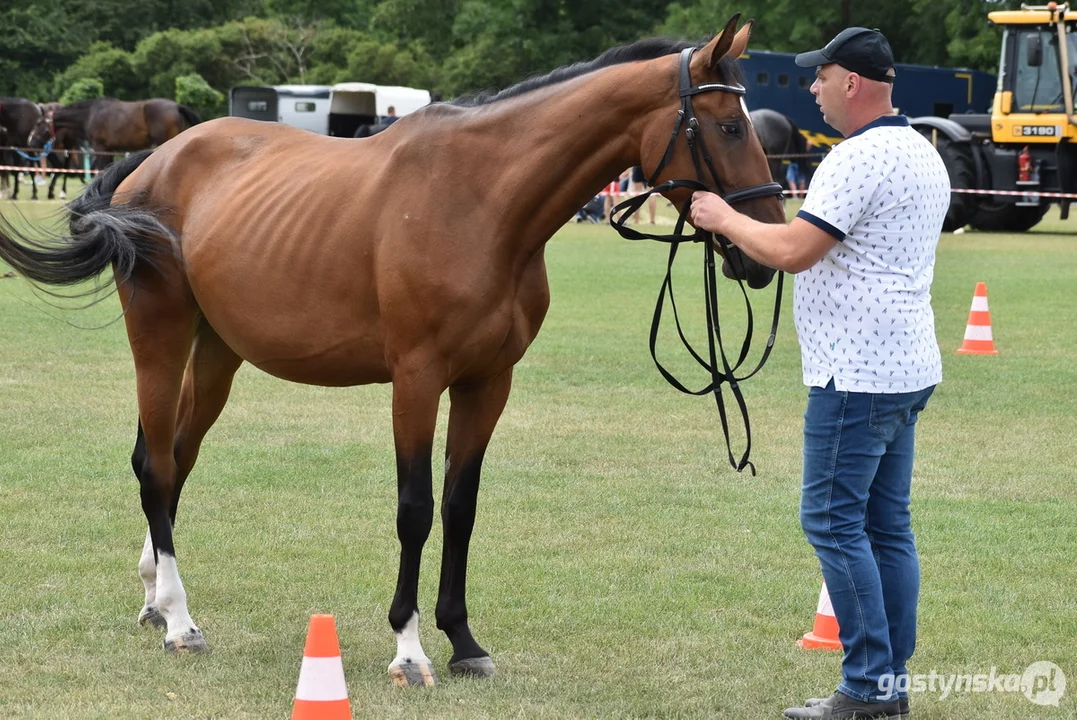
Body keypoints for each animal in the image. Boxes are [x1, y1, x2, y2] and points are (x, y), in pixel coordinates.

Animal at [0, 14, 784, 684]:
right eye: (724, 124)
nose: (761, 253)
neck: (482, 202)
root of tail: (152, 160)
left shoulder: (487, 382)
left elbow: (462, 507)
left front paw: (463, 640)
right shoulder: (416, 378)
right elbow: (416, 507)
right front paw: (409, 649)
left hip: (218, 351)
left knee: (173, 460)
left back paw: (153, 598)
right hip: (159, 335)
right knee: (156, 465)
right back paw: (180, 622)